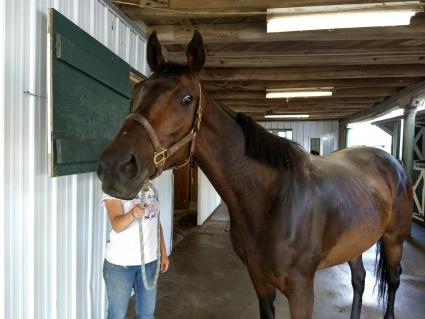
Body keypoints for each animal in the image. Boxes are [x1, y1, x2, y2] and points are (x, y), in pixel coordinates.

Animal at [97, 30, 410, 319]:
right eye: (138, 93)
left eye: (186, 99)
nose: (113, 167)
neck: (272, 200)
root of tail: (391, 162)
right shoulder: (259, 281)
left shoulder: (301, 291)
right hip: (356, 242)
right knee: (359, 280)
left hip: (394, 239)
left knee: (394, 281)